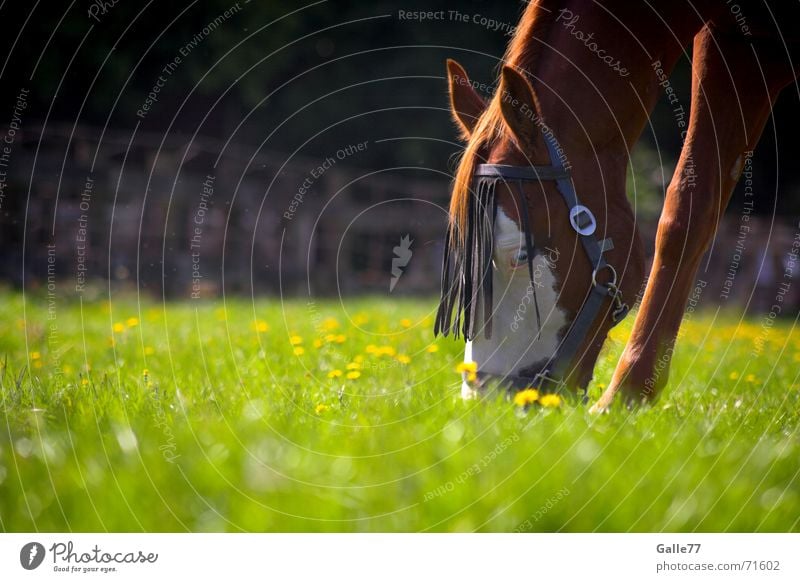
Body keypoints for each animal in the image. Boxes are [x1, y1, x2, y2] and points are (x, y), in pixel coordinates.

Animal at [434, 0, 800, 410]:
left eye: (520, 256)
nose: (485, 399)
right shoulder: (737, 43)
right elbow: (694, 205)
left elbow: (684, 215)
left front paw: (625, 392)